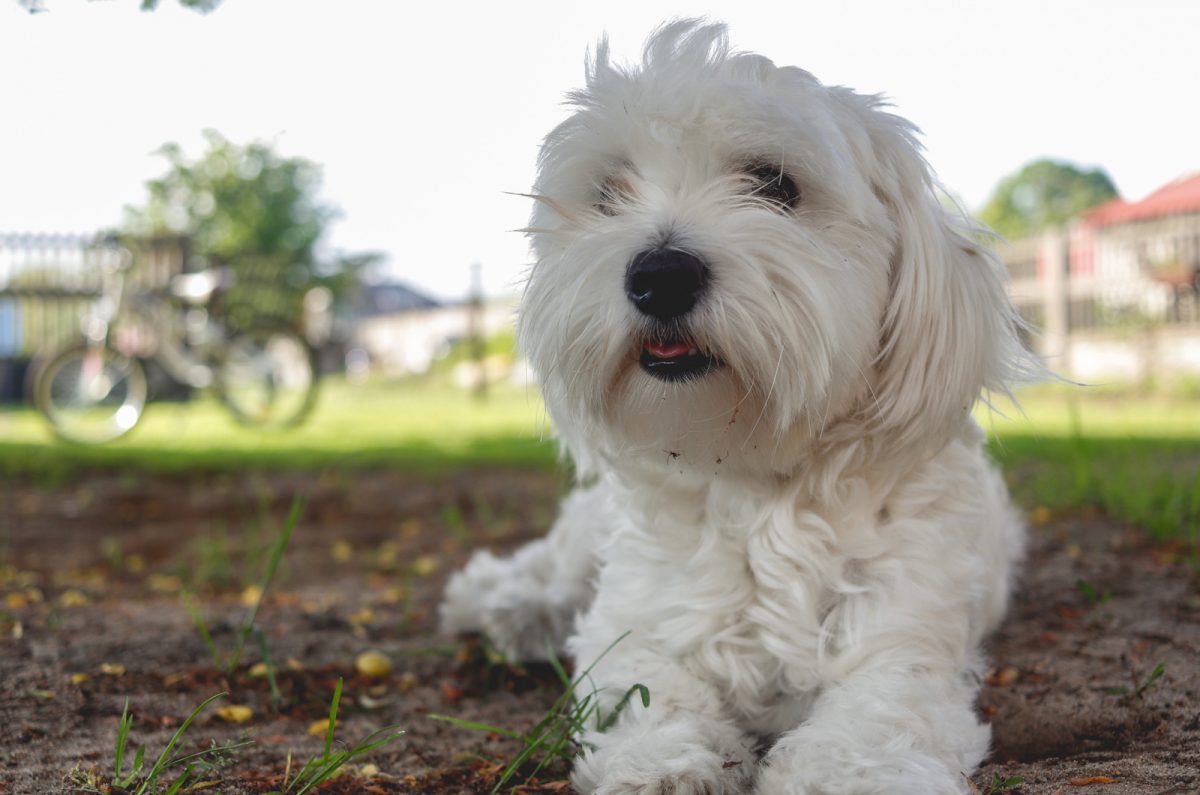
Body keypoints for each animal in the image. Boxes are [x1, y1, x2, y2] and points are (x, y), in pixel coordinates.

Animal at [446, 20, 1036, 795]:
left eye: (775, 186)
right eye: (609, 193)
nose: (659, 274)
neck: (754, 477)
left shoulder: (904, 639)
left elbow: (878, 710)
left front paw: (844, 772)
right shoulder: (637, 621)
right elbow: (647, 686)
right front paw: (664, 760)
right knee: (550, 567)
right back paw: (502, 600)